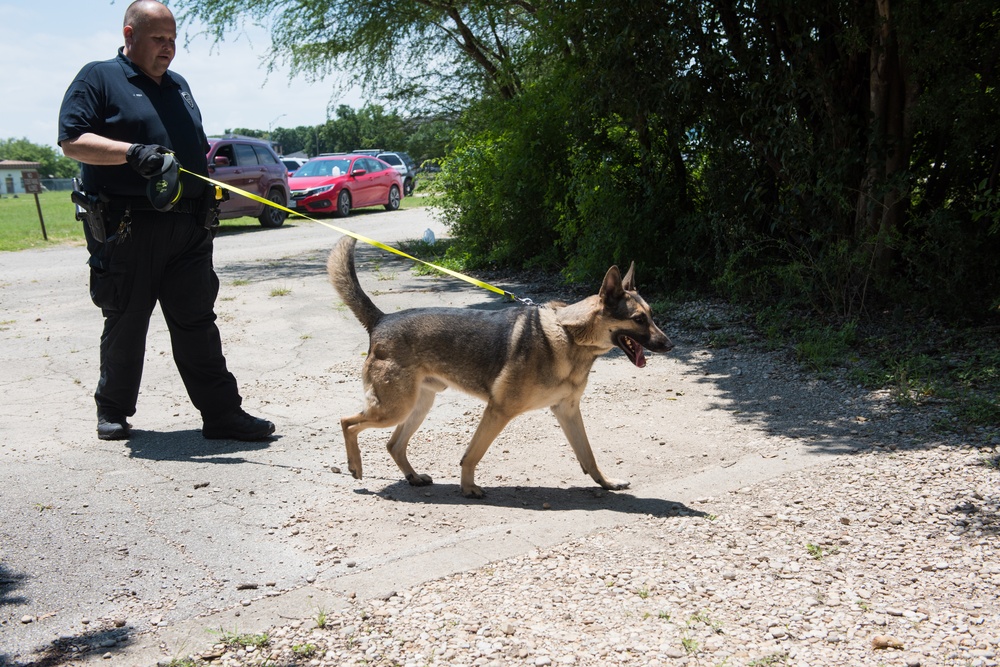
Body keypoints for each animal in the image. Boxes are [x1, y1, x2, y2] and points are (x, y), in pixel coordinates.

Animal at [328, 237, 672, 498]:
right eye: (639, 319)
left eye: (652, 315)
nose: (669, 345)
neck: (570, 334)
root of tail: (381, 319)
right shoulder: (499, 410)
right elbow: (472, 454)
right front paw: (468, 488)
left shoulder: (568, 411)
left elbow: (588, 456)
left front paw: (607, 483)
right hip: (394, 409)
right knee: (347, 422)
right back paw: (355, 466)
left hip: (417, 406)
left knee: (393, 444)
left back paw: (412, 477)